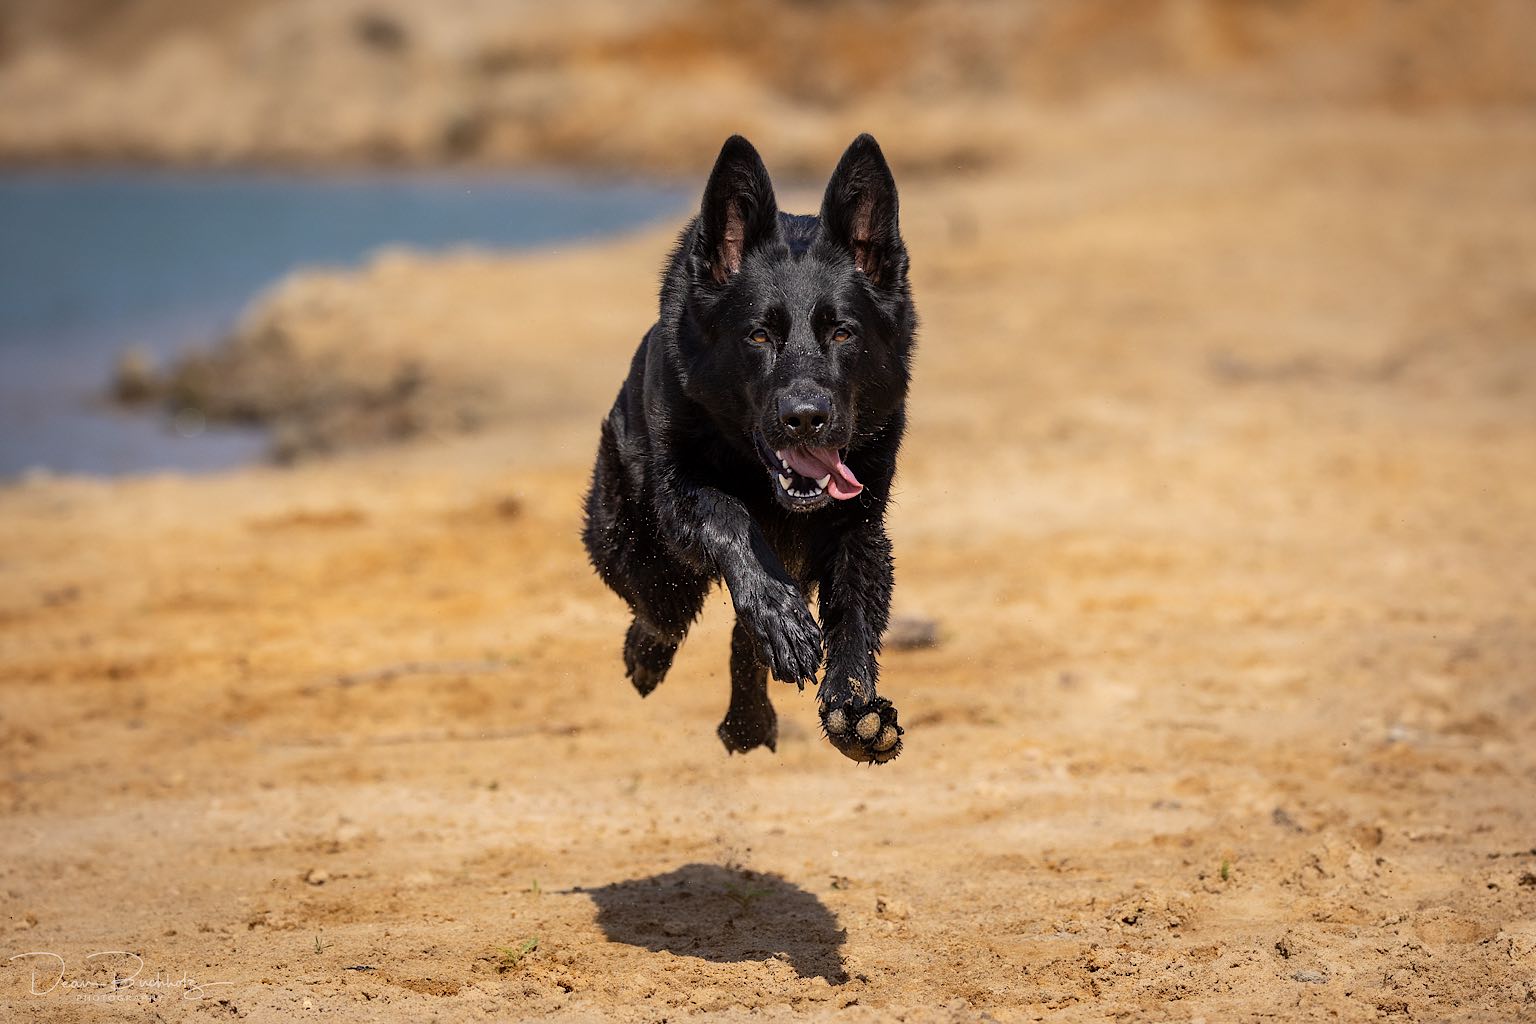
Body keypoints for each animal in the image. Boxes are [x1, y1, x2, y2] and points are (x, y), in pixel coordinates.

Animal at [577, 134, 909, 761]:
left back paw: (748, 722)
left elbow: (855, 612)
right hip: (628, 538)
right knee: (662, 609)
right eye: (758, 335)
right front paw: (780, 614)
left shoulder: (858, 525)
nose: (805, 419)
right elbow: (730, 517)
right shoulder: (681, 495)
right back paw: (649, 656)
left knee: (734, 635)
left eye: (843, 332)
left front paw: (855, 711)